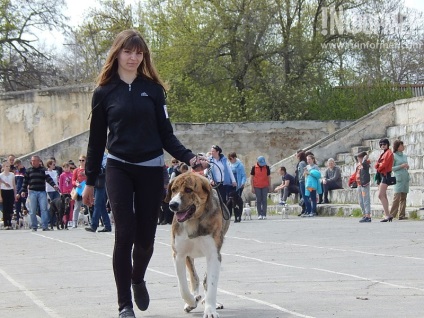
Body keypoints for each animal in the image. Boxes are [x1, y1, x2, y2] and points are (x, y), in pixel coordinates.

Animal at [166, 173, 232, 316]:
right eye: (173, 189)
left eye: (189, 190)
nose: (173, 204)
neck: (193, 221)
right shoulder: (179, 255)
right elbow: (183, 286)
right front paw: (191, 301)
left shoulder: (214, 255)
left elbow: (211, 284)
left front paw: (210, 310)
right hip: (189, 257)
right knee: (194, 277)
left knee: (206, 280)